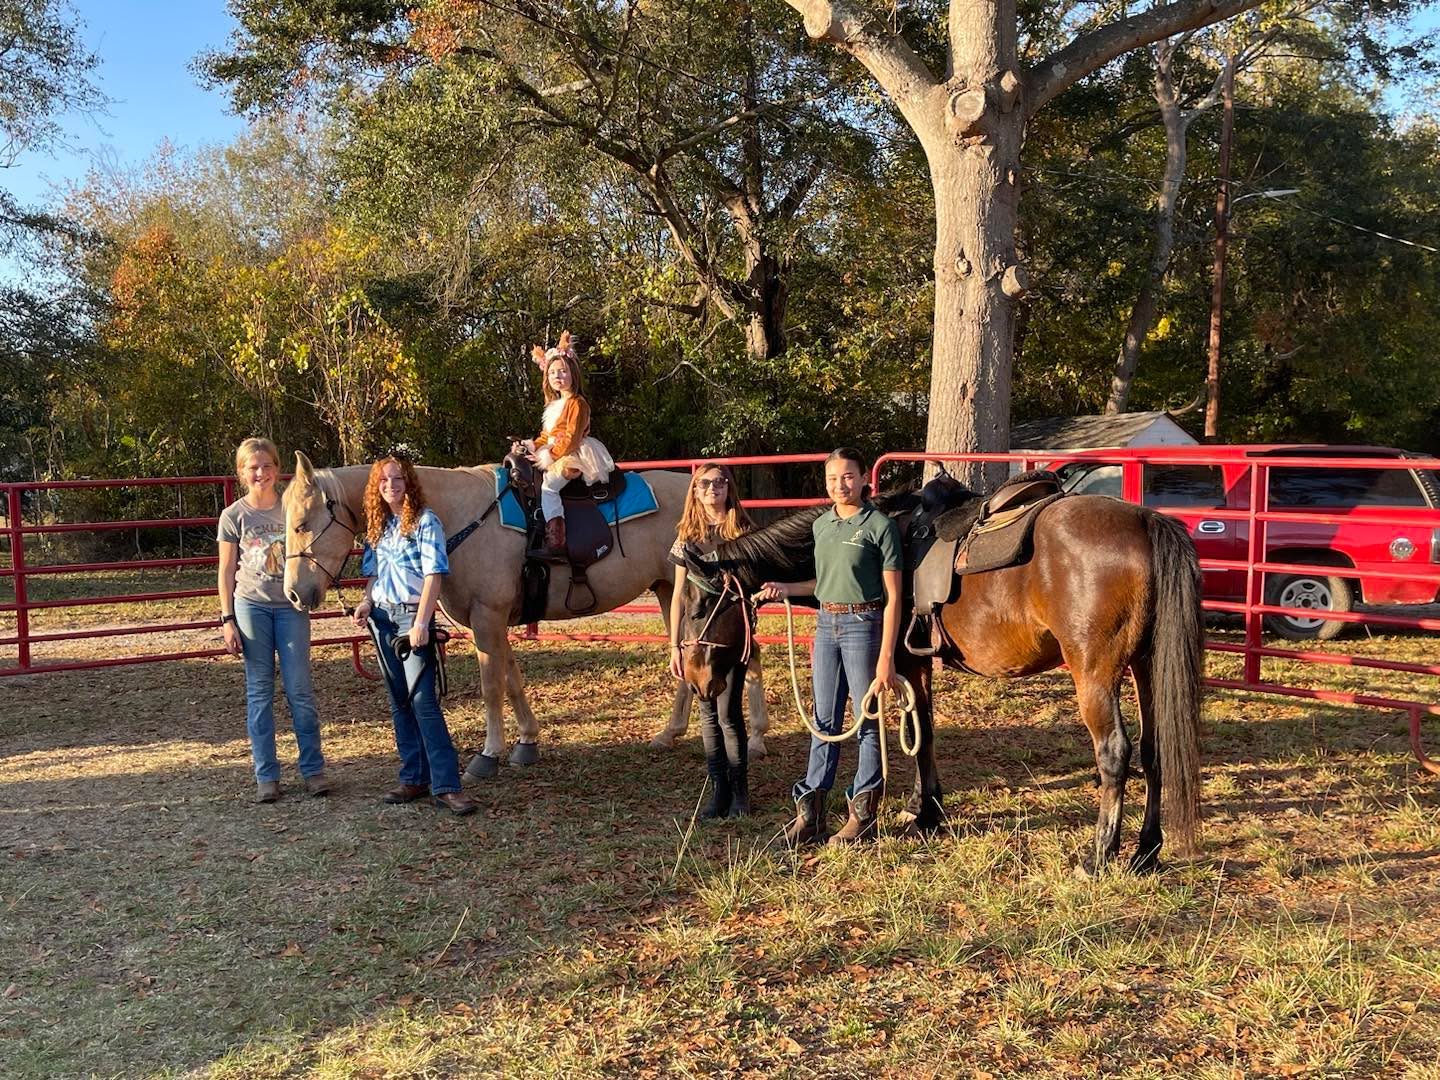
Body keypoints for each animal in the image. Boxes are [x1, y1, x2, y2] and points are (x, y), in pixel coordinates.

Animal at [280, 452, 770, 774]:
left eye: (302, 524)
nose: (295, 595)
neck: (461, 516)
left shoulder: (487, 617)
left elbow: (491, 686)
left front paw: (488, 754)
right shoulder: (495, 621)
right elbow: (512, 680)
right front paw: (526, 742)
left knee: (749, 652)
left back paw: (758, 737)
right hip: (674, 591)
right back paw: (671, 733)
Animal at [677, 487, 1204, 873]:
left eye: (700, 607)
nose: (696, 678)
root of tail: (1145, 521)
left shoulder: (901, 664)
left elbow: (917, 732)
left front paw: (915, 810)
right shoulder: (920, 665)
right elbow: (925, 732)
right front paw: (925, 809)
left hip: (1094, 673)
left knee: (1114, 753)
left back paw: (1099, 854)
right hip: (1145, 667)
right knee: (1155, 751)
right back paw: (1145, 851)